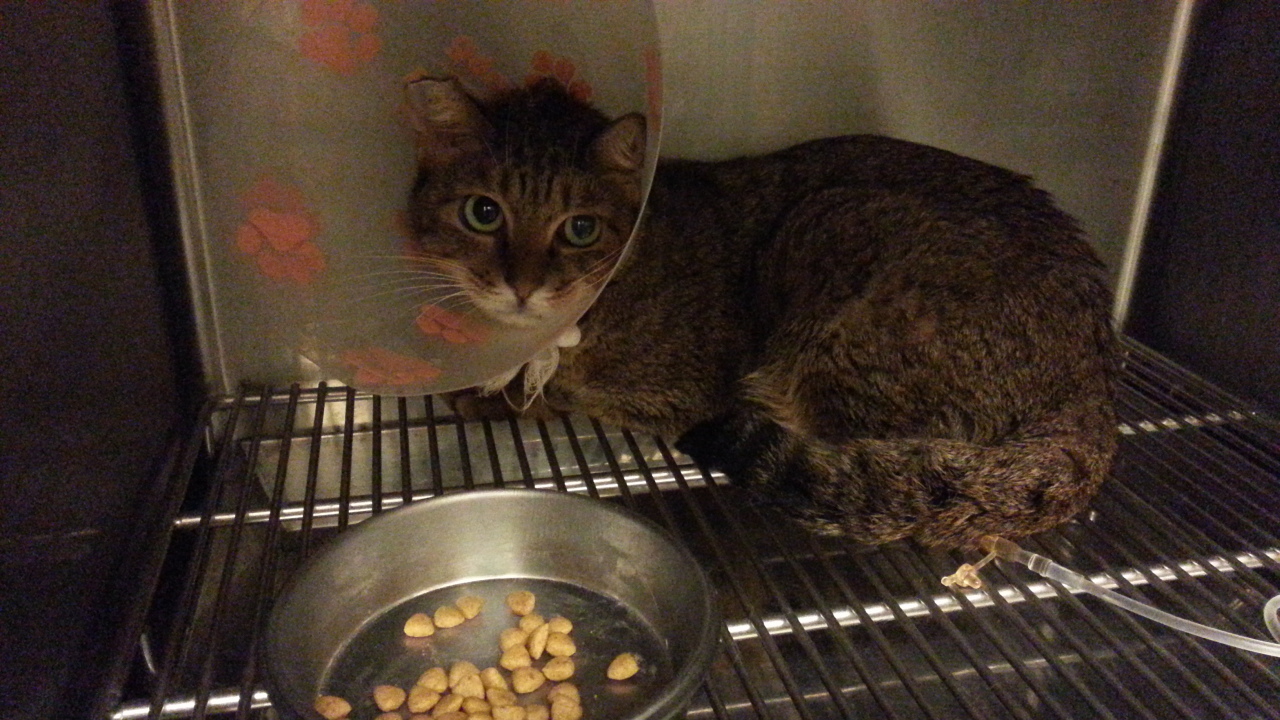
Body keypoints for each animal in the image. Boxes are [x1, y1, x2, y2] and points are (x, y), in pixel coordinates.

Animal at [405, 77, 1119, 549]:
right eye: (483, 213)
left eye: (579, 229)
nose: (522, 285)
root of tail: (1093, 381)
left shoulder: (675, 394)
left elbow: (558, 393)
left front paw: (497, 394)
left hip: (829, 231)